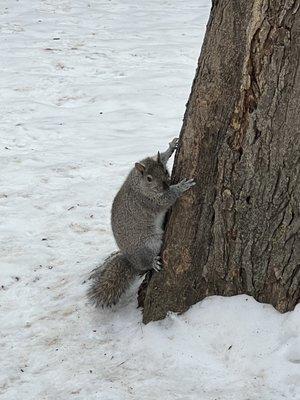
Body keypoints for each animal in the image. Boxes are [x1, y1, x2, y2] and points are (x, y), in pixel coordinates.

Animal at [87, 139, 195, 308]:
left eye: (165, 171)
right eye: (149, 178)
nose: (165, 186)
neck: (139, 183)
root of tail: (133, 262)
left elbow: (160, 156)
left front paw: (171, 147)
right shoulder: (150, 201)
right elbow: (168, 198)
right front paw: (181, 187)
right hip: (149, 243)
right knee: (146, 262)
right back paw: (152, 262)